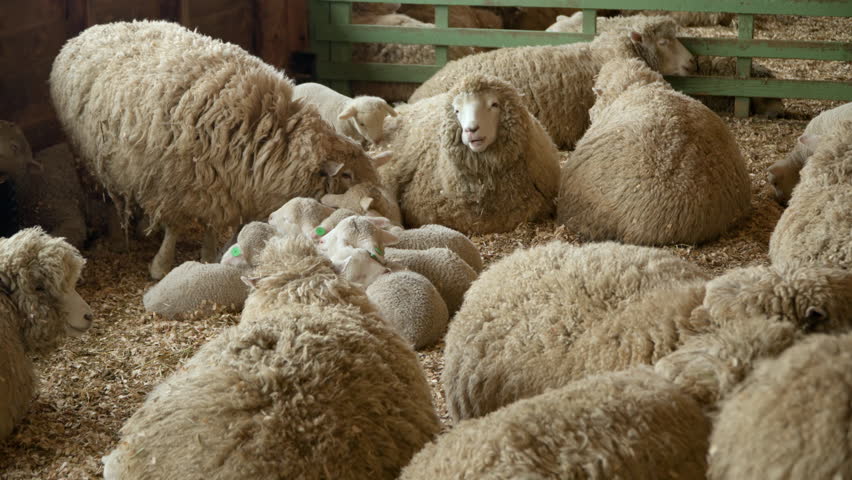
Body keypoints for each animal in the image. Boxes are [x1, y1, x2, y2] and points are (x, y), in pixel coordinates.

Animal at [50, 20, 380, 280]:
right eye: (347, 176)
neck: (267, 135)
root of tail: (87, 31)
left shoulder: (216, 187)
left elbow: (209, 224)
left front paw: (208, 256)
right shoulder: (173, 184)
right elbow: (174, 227)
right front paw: (160, 265)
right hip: (89, 161)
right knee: (107, 198)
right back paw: (119, 237)